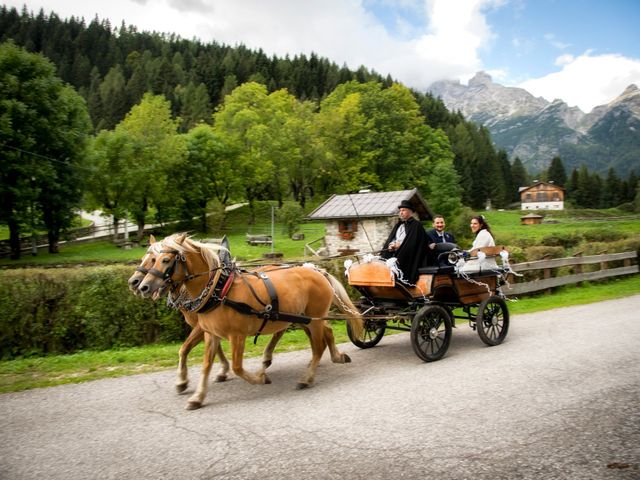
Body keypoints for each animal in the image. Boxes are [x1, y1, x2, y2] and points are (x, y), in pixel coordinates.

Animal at [138, 232, 362, 408]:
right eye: (151, 259)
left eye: (165, 260)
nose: (141, 286)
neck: (218, 291)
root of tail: (318, 271)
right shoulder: (210, 333)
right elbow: (205, 364)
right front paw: (198, 396)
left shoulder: (237, 336)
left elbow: (237, 367)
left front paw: (259, 378)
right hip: (302, 317)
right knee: (321, 333)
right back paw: (329, 358)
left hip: (313, 319)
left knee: (318, 346)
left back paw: (307, 377)